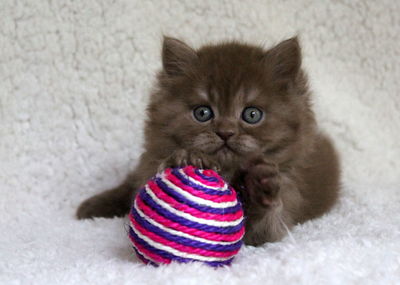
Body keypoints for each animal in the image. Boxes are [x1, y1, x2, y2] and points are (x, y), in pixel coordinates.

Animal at [77, 35, 340, 244]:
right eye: (202, 113)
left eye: (252, 114)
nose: (225, 132)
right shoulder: (147, 163)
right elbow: (131, 185)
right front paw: (188, 159)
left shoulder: (286, 192)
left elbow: (263, 225)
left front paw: (258, 186)